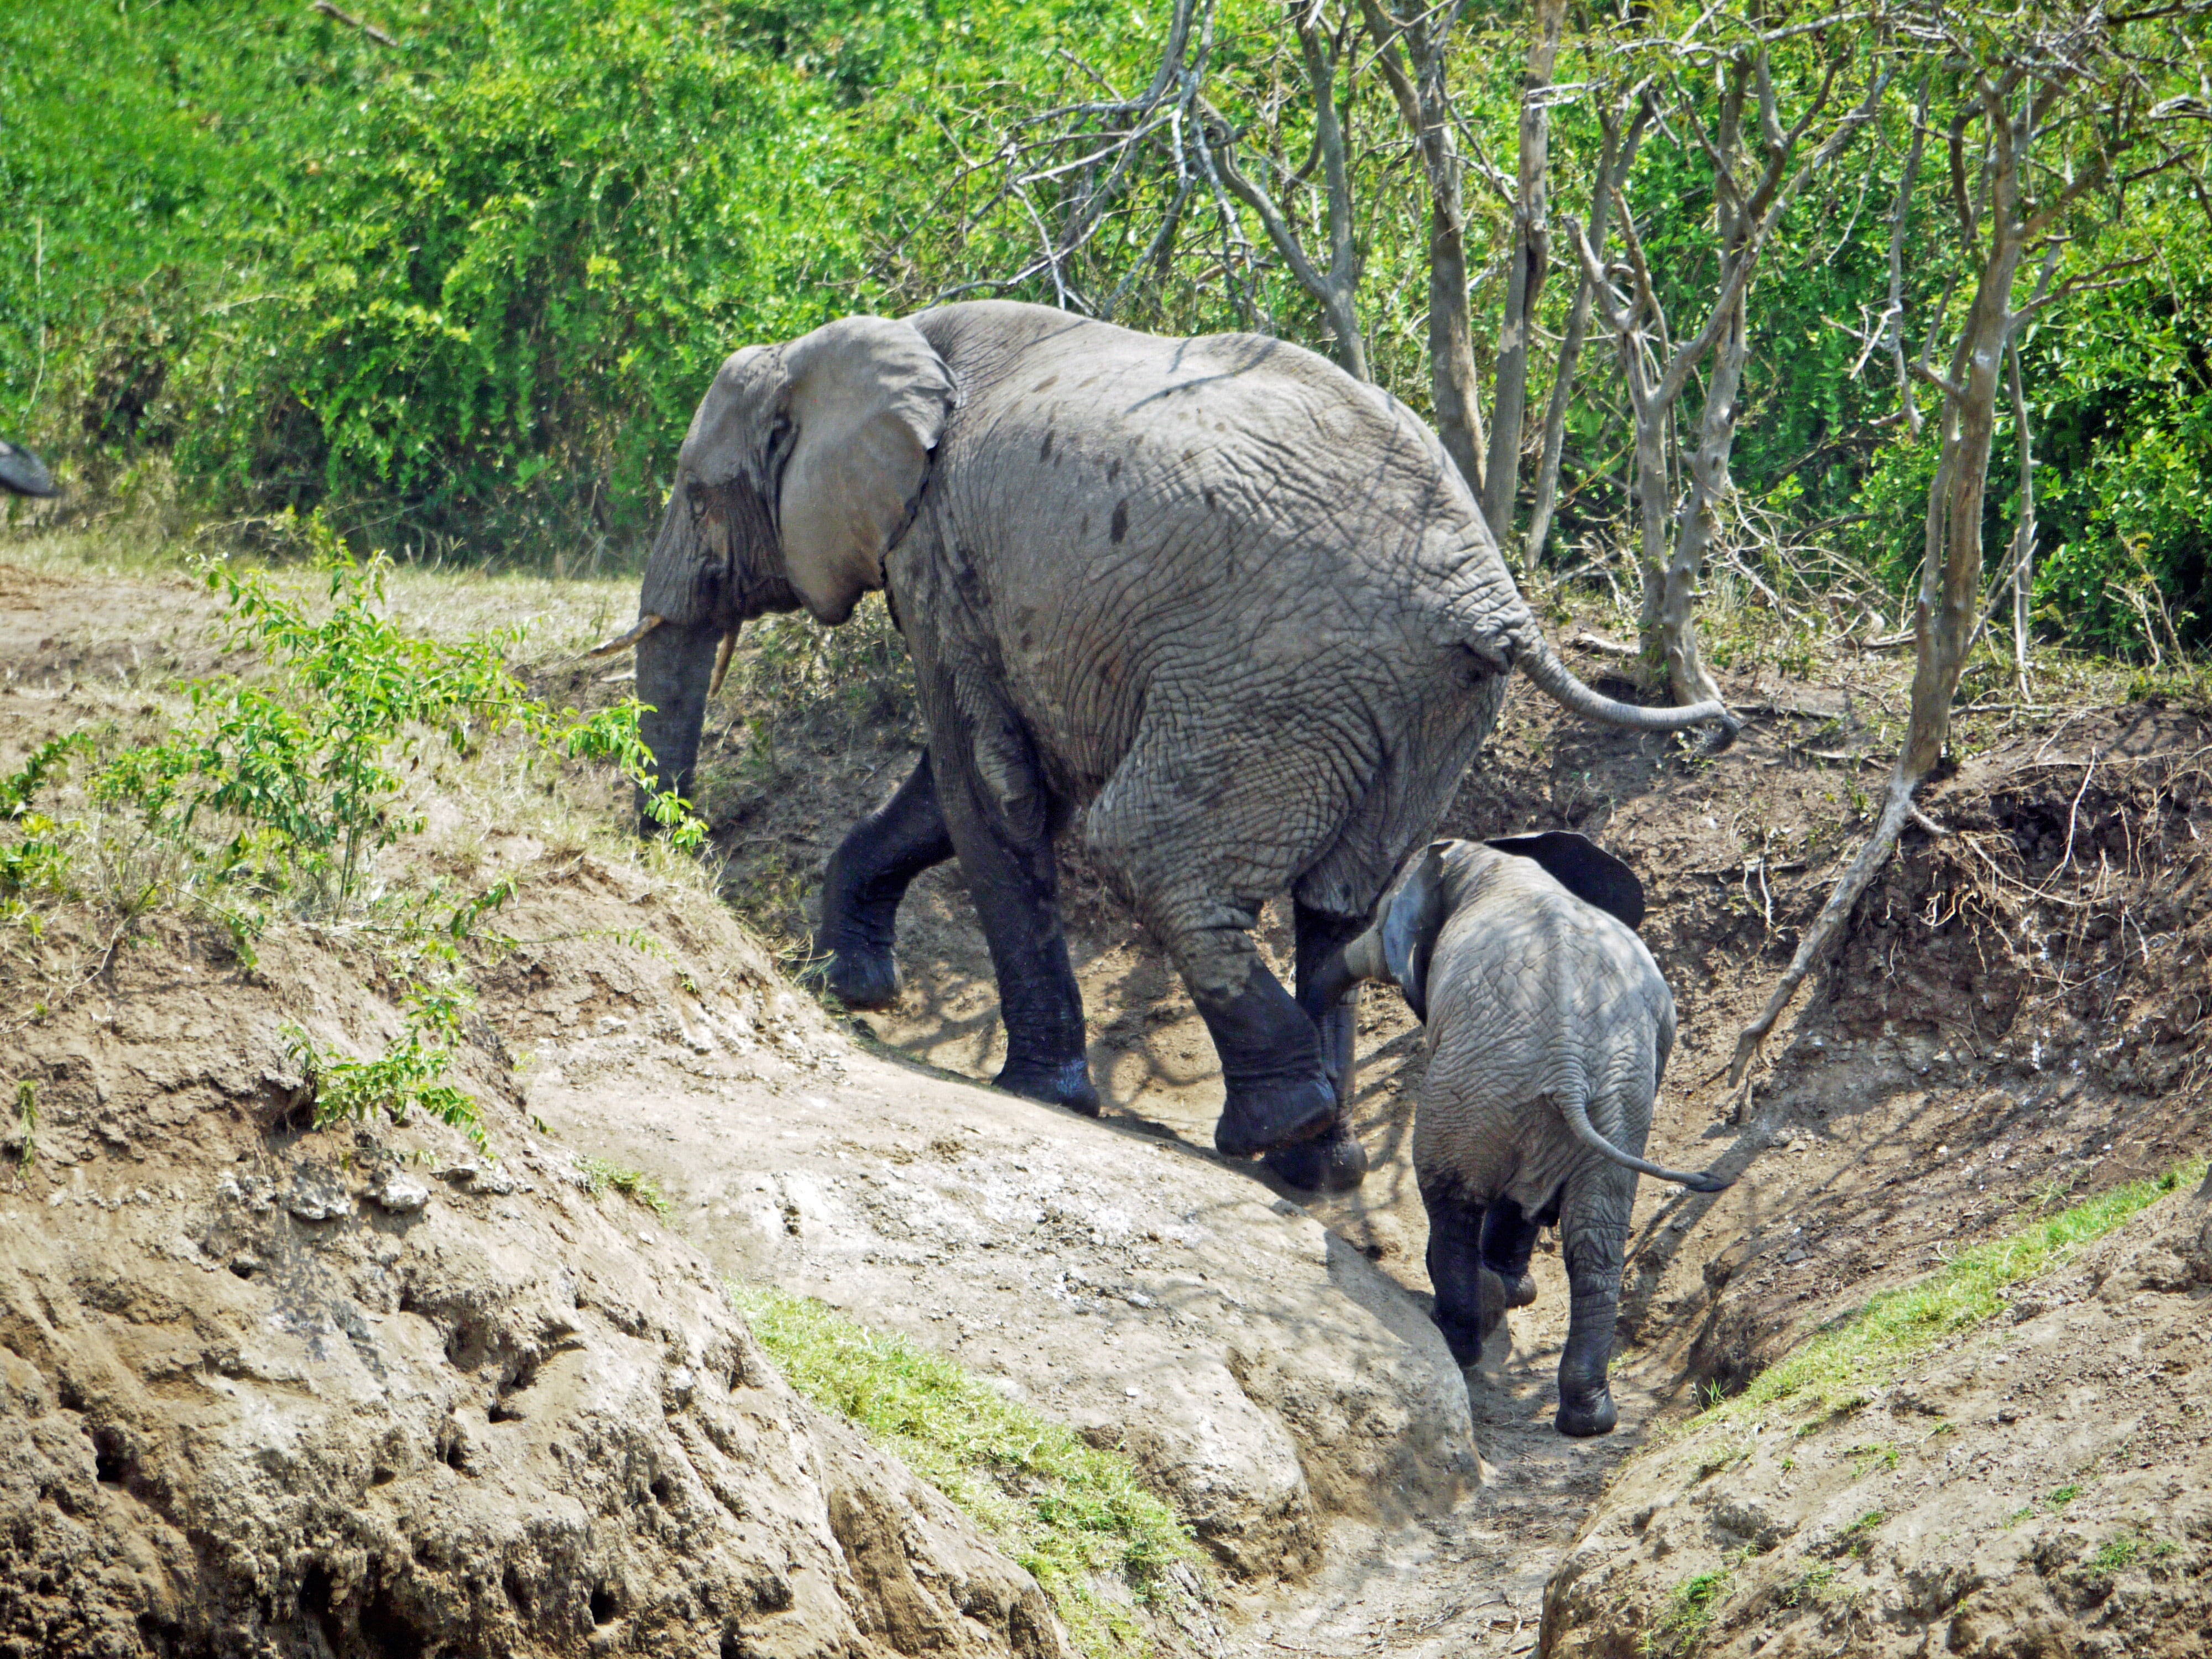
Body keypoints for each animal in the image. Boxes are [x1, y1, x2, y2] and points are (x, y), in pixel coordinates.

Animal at [595, 300, 1734, 1192]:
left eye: (697, 494)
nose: (679, 856)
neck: (872, 343)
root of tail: (1492, 600)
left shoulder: (938, 547)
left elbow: (991, 789)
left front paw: (1037, 1089)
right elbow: (977, 786)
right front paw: (852, 989)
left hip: (1274, 674)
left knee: (1151, 853)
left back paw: (1278, 1130)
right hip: (1418, 706)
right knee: (1340, 901)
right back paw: (1319, 1165)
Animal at [1310, 832, 1731, 1435]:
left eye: (1384, 916)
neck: (1496, 861)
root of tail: (1570, 1065)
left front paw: (1500, 1297)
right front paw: (1517, 1292)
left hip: (1478, 1079)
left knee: (1451, 1197)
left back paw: (1460, 1337)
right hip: (1611, 1099)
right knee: (1595, 1237)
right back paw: (1589, 1419)